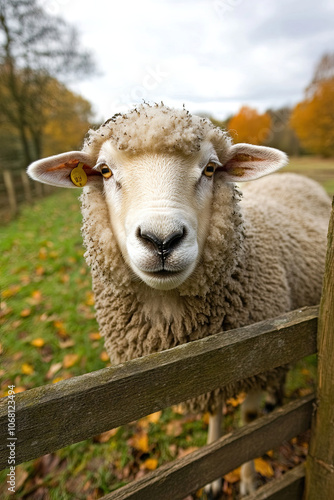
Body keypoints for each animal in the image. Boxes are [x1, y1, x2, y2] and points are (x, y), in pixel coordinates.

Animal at [27, 102, 330, 496]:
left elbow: (248, 422)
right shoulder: (209, 368)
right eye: (105, 171)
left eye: (211, 168)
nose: (161, 240)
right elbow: (216, 413)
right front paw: (215, 476)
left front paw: (248, 482)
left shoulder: (258, 355)